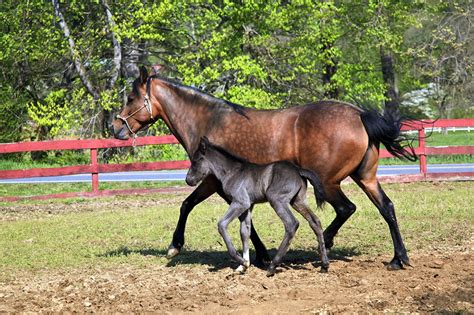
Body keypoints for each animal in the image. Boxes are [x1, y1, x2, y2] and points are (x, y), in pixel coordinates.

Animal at [185, 138, 330, 276]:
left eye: (196, 161)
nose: (188, 180)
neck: (232, 172)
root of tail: (298, 170)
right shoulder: (248, 206)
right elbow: (245, 232)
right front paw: (243, 266)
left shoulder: (240, 202)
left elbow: (222, 224)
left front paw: (241, 260)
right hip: (298, 201)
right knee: (315, 221)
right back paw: (324, 265)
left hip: (277, 200)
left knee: (291, 223)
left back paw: (272, 266)